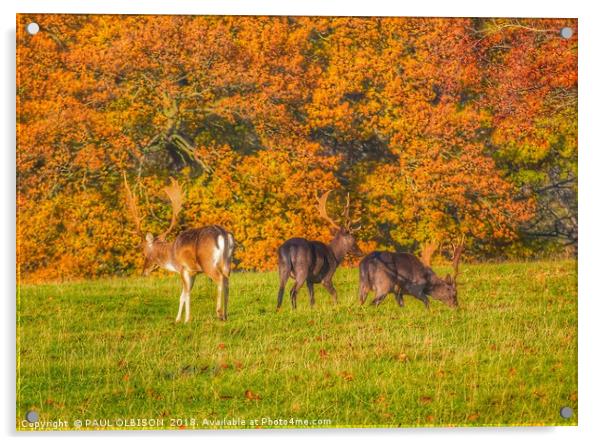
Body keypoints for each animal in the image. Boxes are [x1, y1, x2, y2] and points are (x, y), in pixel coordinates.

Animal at [123, 172, 233, 320]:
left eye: (144, 252)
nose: (143, 272)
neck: (171, 255)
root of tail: (223, 234)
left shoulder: (183, 268)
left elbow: (186, 294)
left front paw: (186, 319)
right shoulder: (193, 272)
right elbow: (182, 296)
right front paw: (177, 319)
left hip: (208, 263)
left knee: (220, 279)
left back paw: (219, 312)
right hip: (227, 262)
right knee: (227, 280)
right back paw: (225, 315)